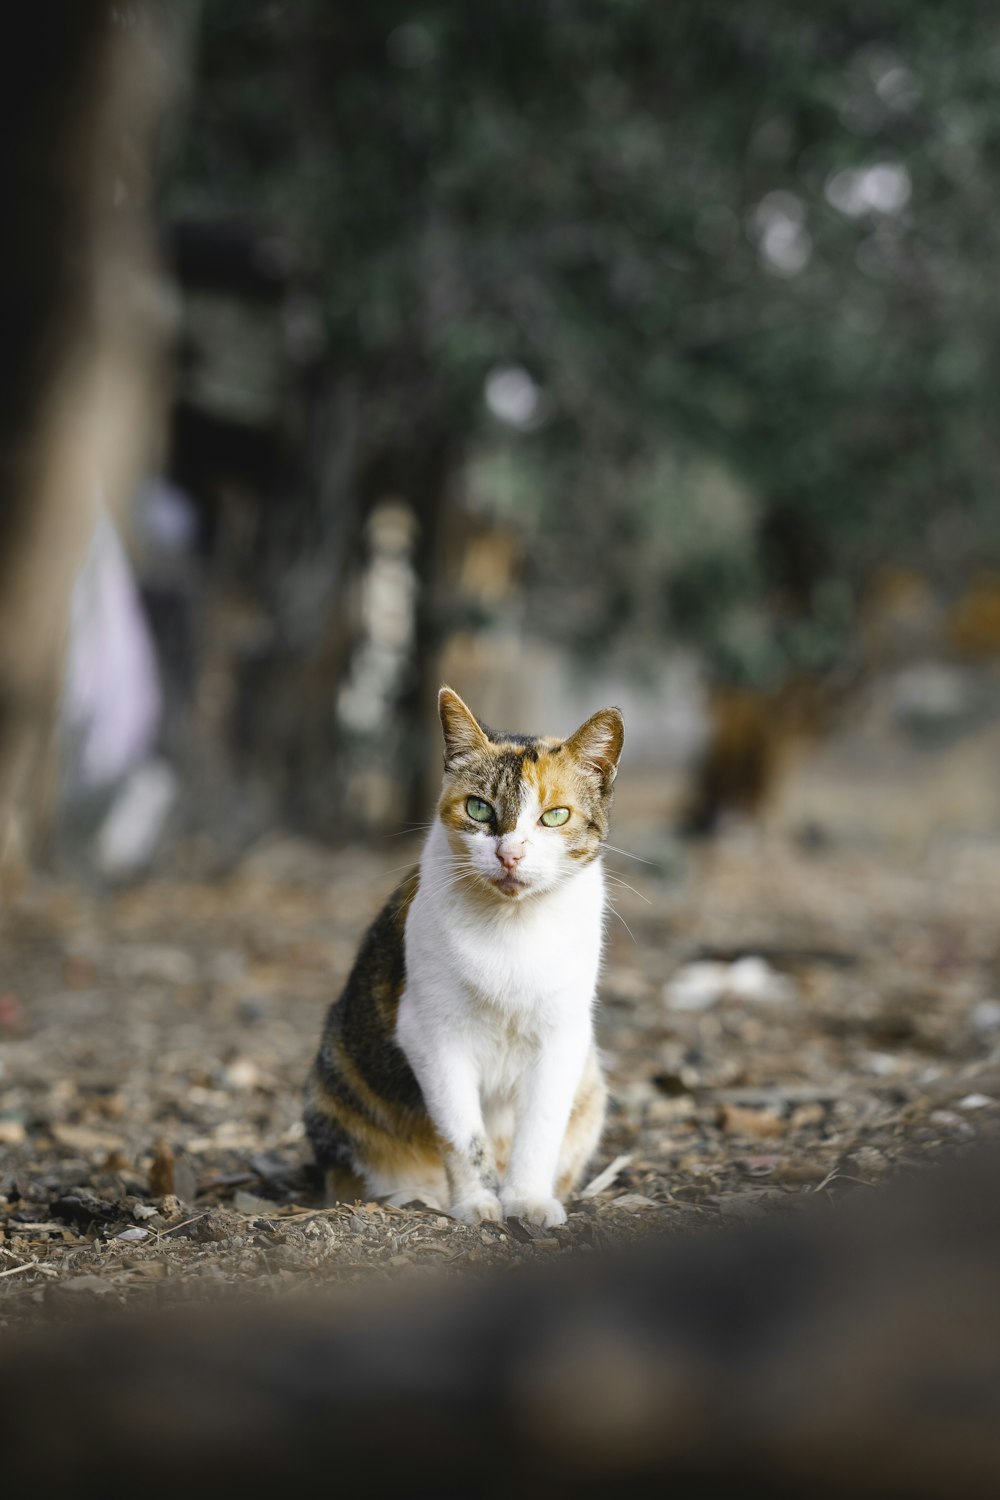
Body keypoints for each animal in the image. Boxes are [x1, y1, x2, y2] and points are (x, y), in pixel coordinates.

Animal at [305, 687, 620, 1224]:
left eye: (555, 816)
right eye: (478, 808)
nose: (510, 854)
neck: (513, 928)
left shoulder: (563, 1035)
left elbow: (540, 1128)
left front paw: (527, 1200)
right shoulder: (433, 1034)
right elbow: (462, 1132)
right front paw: (476, 1203)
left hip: (590, 1082)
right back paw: (415, 1196)